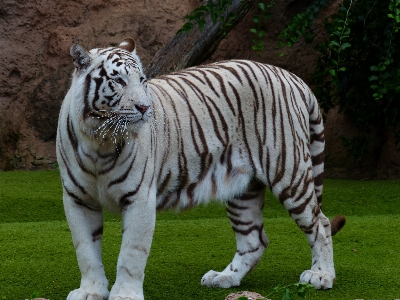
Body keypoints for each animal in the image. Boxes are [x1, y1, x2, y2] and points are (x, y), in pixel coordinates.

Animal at [55, 37, 344, 300]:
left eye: (142, 81)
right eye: (118, 81)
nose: (145, 107)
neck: (99, 141)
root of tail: (292, 77)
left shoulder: (139, 198)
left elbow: (131, 253)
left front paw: (125, 295)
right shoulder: (77, 199)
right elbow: (85, 250)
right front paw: (91, 291)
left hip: (289, 171)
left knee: (320, 222)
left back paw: (321, 276)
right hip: (242, 188)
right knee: (254, 240)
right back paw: (225, 277)